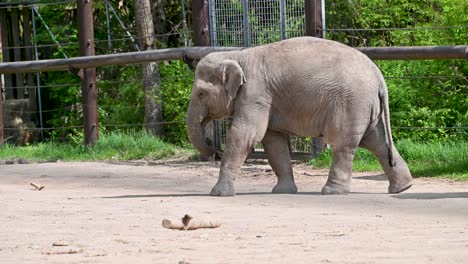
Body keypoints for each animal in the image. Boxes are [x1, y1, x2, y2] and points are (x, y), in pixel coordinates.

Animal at [186, 36, 414, 196]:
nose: (213, 149)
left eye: (201, 93)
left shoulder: (255, 94)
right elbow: (273, 141)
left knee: (344, 144)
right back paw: (403, 188)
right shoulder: (265, 100)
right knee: (379, 143)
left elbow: (245, 135)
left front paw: (218, 194)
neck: (238, 55)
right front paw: (283, 191)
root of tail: (379, 77)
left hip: (351, 104)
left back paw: (332, 192)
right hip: (367, 107)